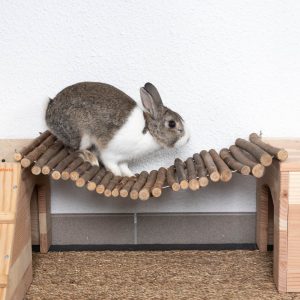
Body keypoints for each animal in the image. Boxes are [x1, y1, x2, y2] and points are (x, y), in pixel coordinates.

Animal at [44, 81, 190, 177]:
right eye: (172, 124)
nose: (188, 139)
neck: (149, 131)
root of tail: (49, 112)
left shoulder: (124, 159)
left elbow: (125, 168)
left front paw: (131, 176)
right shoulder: (110, 153)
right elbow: (112, 165)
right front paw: (118, 175)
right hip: (80, 135)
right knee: (72, 150)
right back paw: (90, 159)